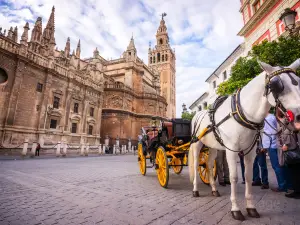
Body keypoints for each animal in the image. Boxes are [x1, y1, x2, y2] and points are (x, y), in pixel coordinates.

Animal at [189, 59, 300, 221]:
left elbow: (247, 176)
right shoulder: (231, 150)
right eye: (276, 85)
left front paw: (250, 207)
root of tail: (197, 115)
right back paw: (195, 190)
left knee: (209, 165)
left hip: (213, 147)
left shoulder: (251, 151)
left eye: (298, 81)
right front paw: (235, 209)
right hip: (197, 144)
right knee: (196, 163)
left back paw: (214, 189)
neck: (242, 113)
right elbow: (234, 177)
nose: (299, 116)